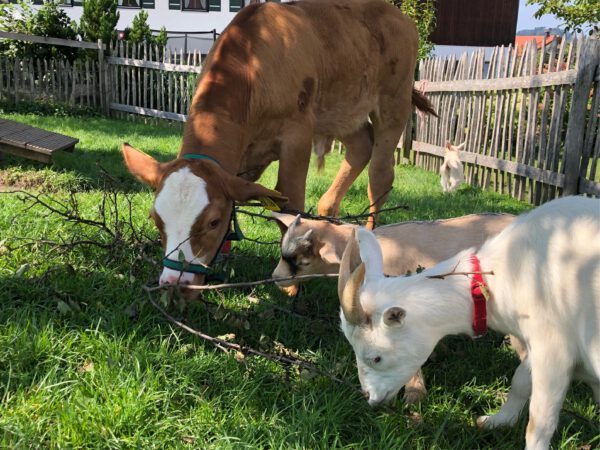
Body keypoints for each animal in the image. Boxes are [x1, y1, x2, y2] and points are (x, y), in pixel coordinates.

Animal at [122, 0, 434, 290]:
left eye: (212, 221)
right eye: (155, 219)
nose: (174, 281)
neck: (252, 69)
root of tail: (401, 17)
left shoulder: (297, 134)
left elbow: (290, 202)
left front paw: (291, 285)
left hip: (393, 102)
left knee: (380, 174)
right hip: (341, 112)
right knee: (360, 147)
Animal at [338, 197, 600, 450]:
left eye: (376, 358)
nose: (370, 398)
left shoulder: (553, 347)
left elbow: (540, 421)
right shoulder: (542, 343)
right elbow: (520, 381)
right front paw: (497, 421)